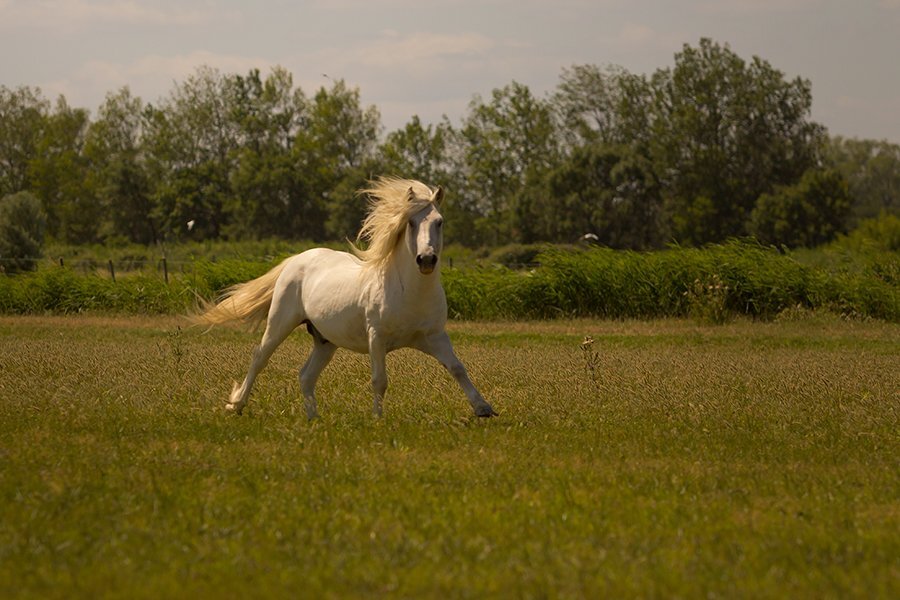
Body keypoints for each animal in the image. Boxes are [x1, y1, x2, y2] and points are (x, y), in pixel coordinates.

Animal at [191, 177, 497, 420]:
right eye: (410, 223)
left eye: (439, 222)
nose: (426, 260)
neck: (410, 293)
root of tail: (297, 259)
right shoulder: (377, 337)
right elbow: (379, 380)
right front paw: (378, 418)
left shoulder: (434, 337)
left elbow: (457, 368)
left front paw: (484, 409)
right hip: (279, 323)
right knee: (259, 358)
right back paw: (237, 406)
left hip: (325, 341)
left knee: (306, 375)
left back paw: (314, 418)